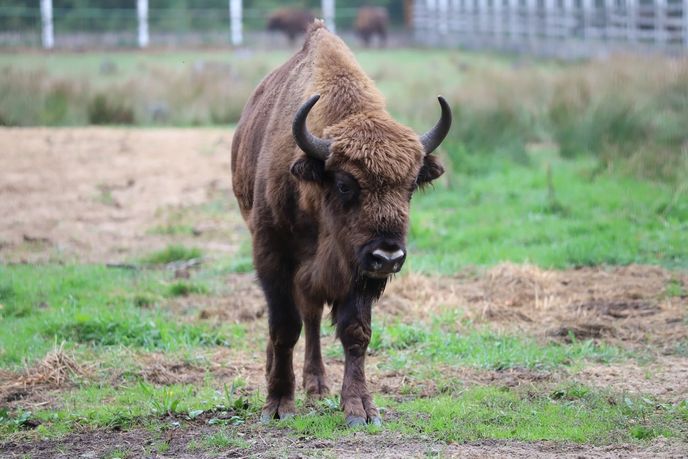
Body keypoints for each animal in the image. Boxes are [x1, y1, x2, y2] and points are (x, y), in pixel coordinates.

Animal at [231, 20, 451, 426]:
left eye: (411, 185)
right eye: (346, 184)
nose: (388, 255)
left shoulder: (358, 272)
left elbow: (355, 332)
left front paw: (360, 408)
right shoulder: (272, 256)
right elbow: (284, 326)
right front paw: (278, 404)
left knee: (313, 315)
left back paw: (317, 385)